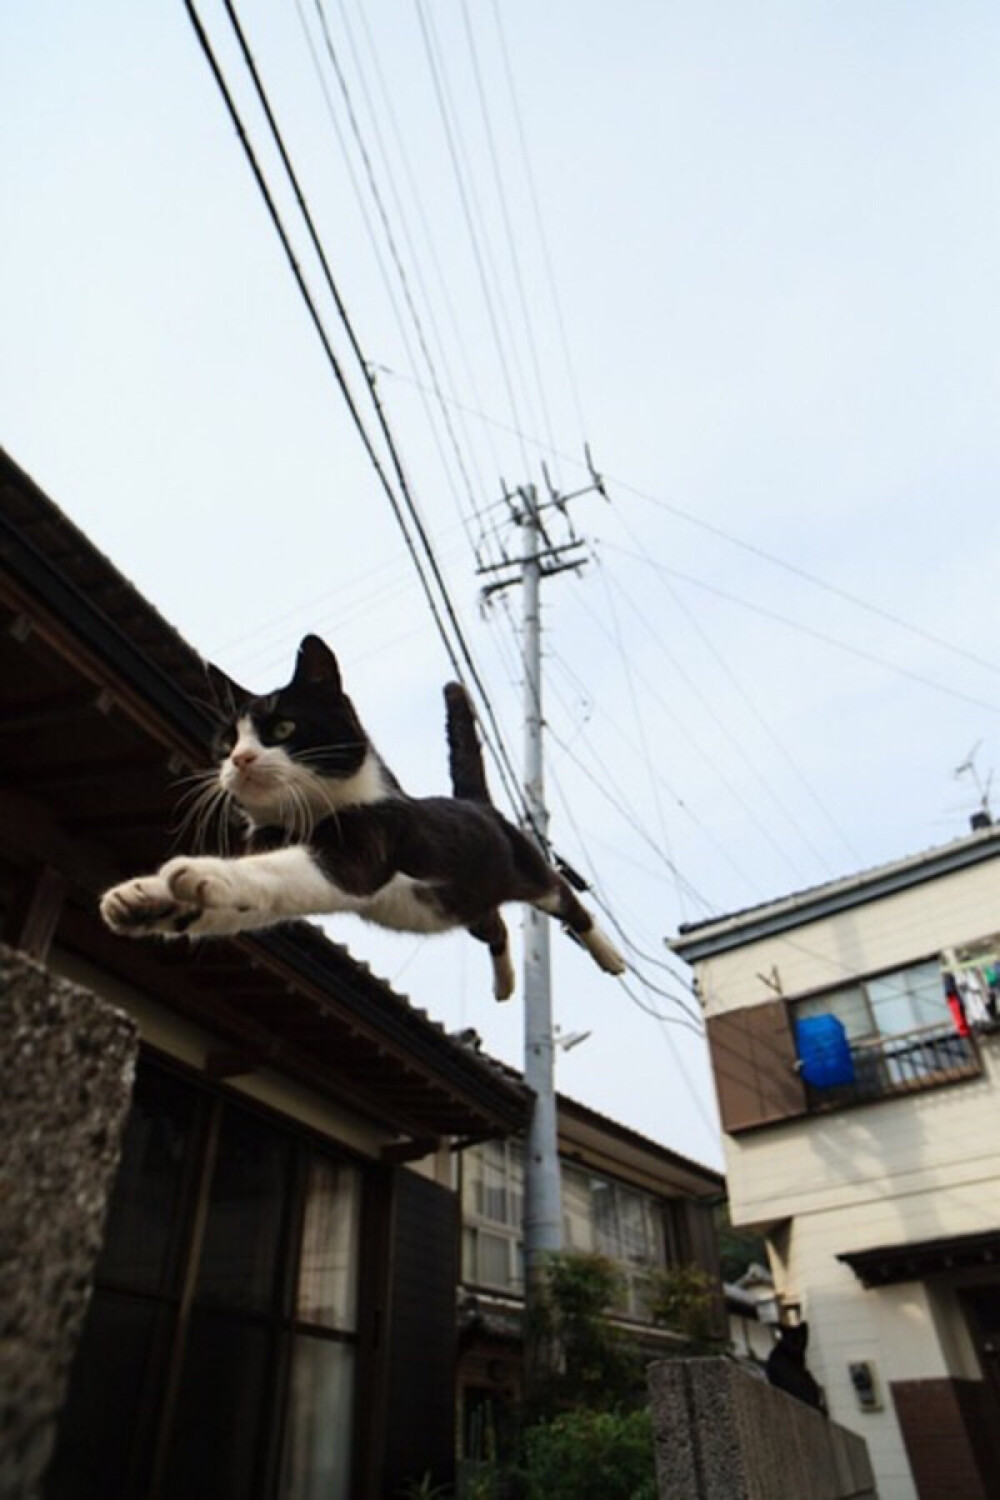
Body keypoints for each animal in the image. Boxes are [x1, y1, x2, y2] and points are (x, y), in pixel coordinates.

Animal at [95, 633, 626, 996]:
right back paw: (505, 982)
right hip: (462, 901)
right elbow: (235, 903)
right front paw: (143, 899)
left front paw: (201, 873)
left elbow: (273, 871)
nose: (240, 759)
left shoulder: (362, 848)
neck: (303, 814)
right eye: (227, 742)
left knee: (563, 897)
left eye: (283, 728)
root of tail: (478, 803)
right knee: (492, 926)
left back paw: (610, 955)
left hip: (523, 869)